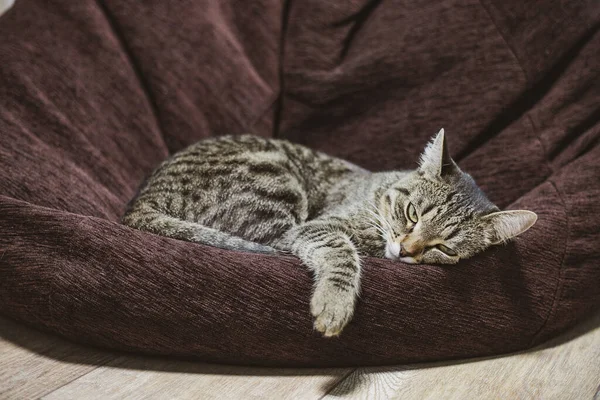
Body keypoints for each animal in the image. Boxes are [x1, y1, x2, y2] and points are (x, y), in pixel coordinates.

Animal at [120, 130, 536, 336]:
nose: (406, 250)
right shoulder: (318, 227)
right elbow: (341, 252)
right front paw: (334, 304)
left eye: (446, 249)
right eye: (412, 213)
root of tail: (143, 199)